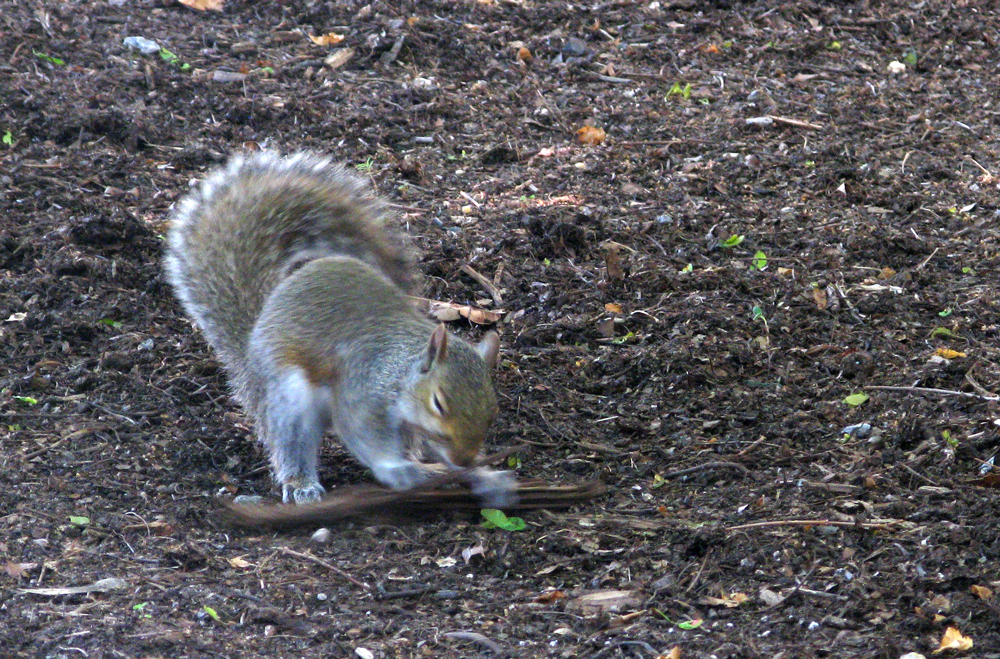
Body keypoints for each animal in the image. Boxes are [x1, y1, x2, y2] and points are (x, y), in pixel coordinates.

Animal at [164, 151, 516, 507]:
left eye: (492, 412)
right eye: (439, 403)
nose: (465, 458)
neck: (401, 370)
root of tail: (251, 349)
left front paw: (484, 477)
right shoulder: (361, 391)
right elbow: (360, 433)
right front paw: (397, 470)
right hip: (287, 396)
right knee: (290, 443)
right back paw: (302, 483)